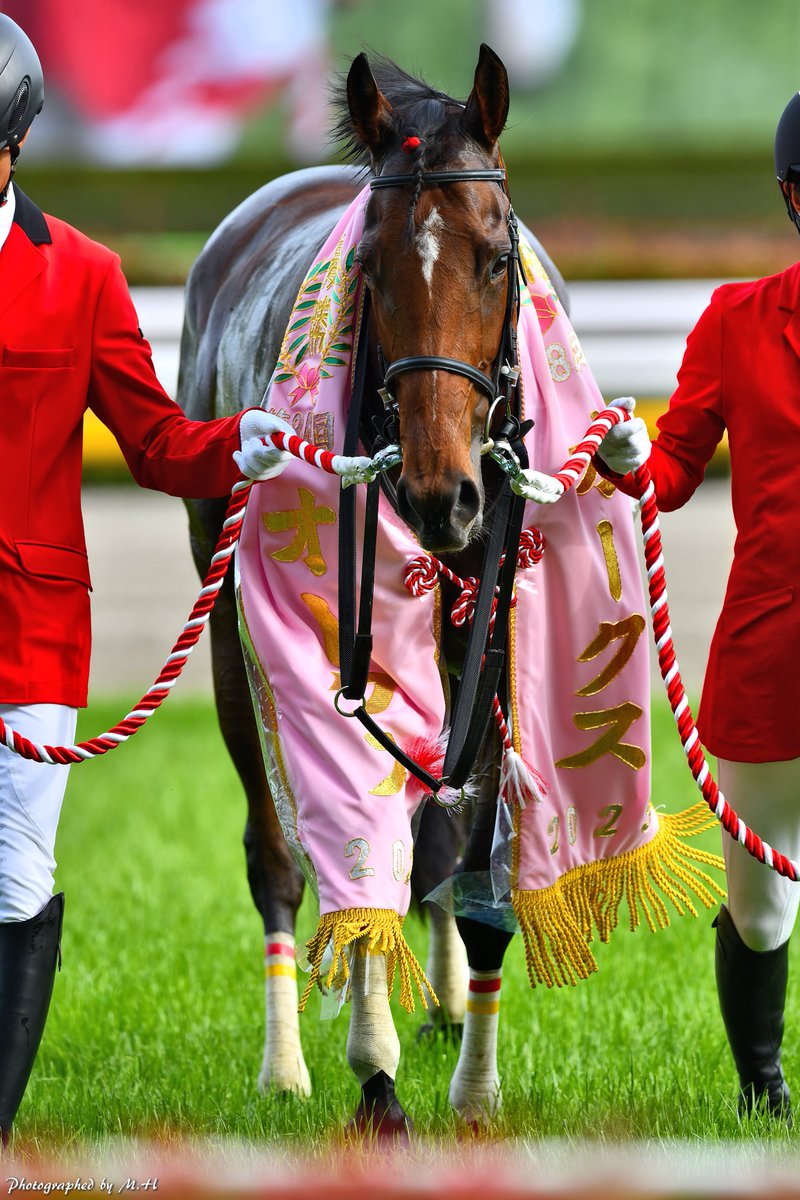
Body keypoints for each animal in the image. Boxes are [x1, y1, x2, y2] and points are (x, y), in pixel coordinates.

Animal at [178, 45, 568, 1133]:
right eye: (371, 265)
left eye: (494, 257)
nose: (443, 495)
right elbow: (358, 837)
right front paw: (375, 1071)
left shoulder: (489, 627)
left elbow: (468, 855)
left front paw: (474, 1085)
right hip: (226, 618)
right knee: (275, 850)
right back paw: (287, 1066)